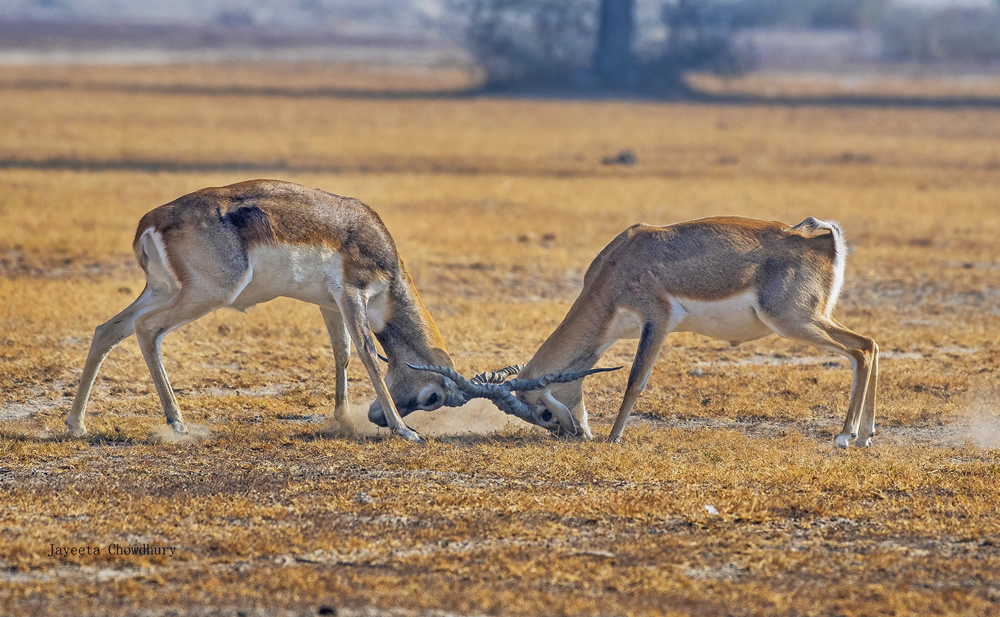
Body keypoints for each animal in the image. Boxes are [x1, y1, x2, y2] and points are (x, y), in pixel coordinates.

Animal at [66, 179, 464, 442]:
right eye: (433, 397)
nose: (377, 418)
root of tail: (149, 222)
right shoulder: (353, 294)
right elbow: (367, 353)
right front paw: (405, 430)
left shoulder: (331, 303)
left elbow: (343, 353)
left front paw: (345, 420)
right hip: (208, 294)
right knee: (147, 329)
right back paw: (177, 424)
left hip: (163, 290)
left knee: (108, 329)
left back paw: (77, 425)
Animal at [410, 217, 880, 448]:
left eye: (543, 413)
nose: (574, 436)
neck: (617, 268)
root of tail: (824, 242)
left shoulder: (657, 320)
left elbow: (635, 380)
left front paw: (614, 438)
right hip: (809, 320)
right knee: (872, 345)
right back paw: (865, 435)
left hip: (793, 321)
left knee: (860, 350)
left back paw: (844, 436)